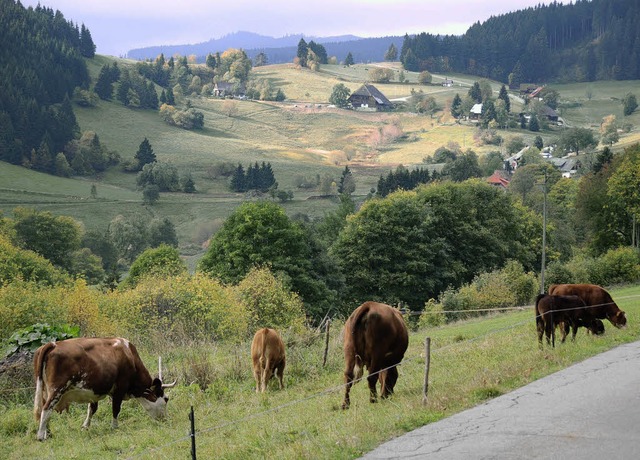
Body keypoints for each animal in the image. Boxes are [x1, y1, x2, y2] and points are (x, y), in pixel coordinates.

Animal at [32, 336, 175, 440]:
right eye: (166, 399)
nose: (166, 419)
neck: (129, 355)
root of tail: (53, 344)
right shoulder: (120, 388)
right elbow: (116, 408)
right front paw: (114, 427)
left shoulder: (94, 391)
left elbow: (92, 409)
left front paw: (85, 426)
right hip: (57, 390)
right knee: (46, 409)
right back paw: (41, 436)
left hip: (45, 390)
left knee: (44, 410)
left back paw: (48, 433)